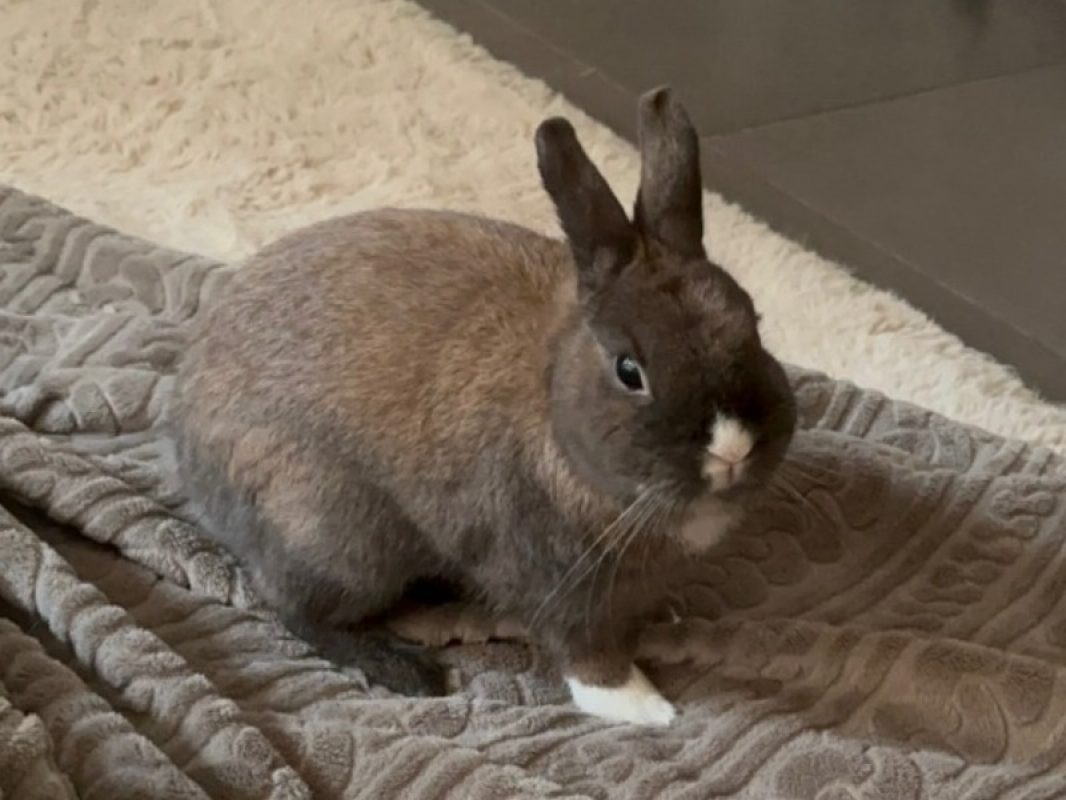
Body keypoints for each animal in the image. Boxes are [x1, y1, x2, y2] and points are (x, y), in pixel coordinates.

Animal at [168, 87, 797, 726]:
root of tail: (187, 446)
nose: (732, 448)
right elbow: (587, 651)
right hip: (331, 532)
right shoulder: (555, 582)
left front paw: (666, 618)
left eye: (753, 325)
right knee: (295, 609)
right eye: (629, 370)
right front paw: (643, 707)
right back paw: (405, 669)